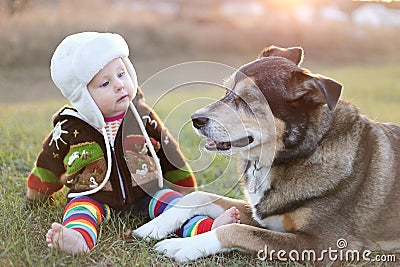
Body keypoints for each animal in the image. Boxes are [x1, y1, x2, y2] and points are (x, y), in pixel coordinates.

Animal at [132, 45, 400, 264]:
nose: (195, 119)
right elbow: (198, 196)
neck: (303, 149)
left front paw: (182, 246)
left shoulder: (324, 245)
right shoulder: (262, 214)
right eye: (226, 91)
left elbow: (235, 230)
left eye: (248, 100)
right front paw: (153, 227)